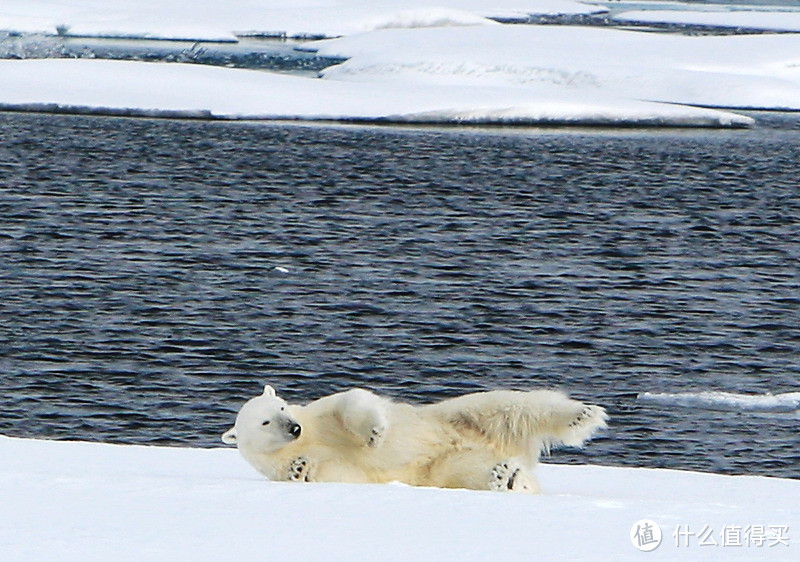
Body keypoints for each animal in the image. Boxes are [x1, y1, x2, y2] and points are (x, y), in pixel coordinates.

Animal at [220, 384, 608, 490]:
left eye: (282, 406)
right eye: (265, 422)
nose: (293, 427)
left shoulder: (317, 415)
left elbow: (350, 401)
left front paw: (375, 433)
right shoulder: (285, 464)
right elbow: (342, 473)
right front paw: (302, 469)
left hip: (457, 417)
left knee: (512, 407)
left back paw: (583, 415)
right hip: (445, 466)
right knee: (472, 471)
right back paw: (507, 477)